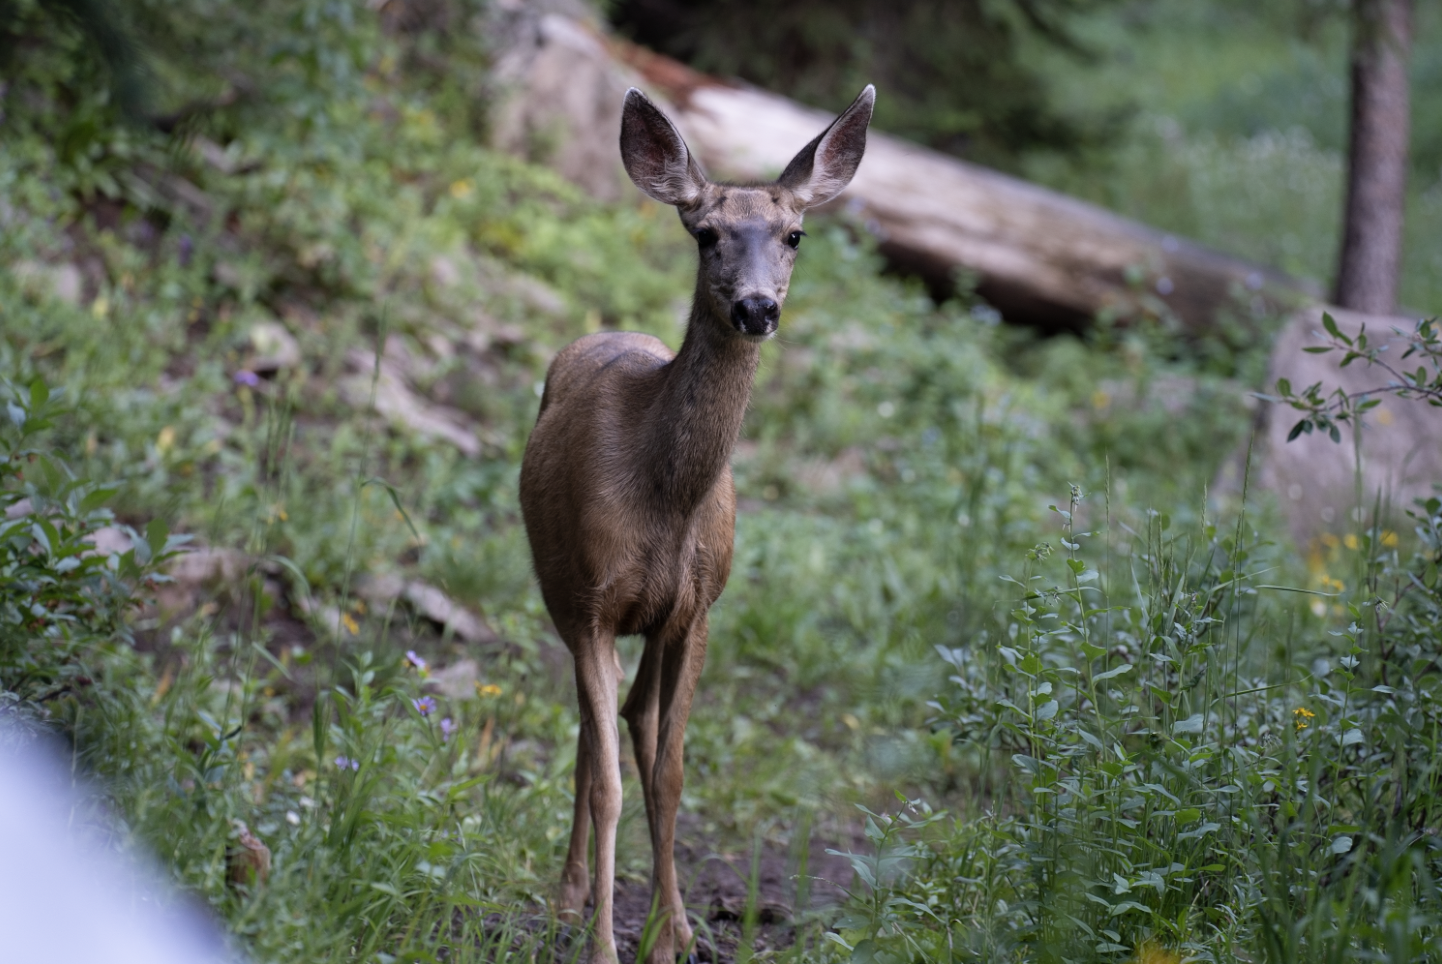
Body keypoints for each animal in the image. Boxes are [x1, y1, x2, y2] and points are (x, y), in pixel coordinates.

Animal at [518, 84, 874, 964]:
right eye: (706, 233)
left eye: (794, 234)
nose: (757, 307)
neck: (666, 498)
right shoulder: (591, 603)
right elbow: (611, 780)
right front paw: (605, 943)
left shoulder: (697, 608)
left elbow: (671, 769)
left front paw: (668, 935)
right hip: (559, 589)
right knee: (593, 732)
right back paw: (571, 896)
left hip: (656, 620)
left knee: (634, 723)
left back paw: (668, 918)